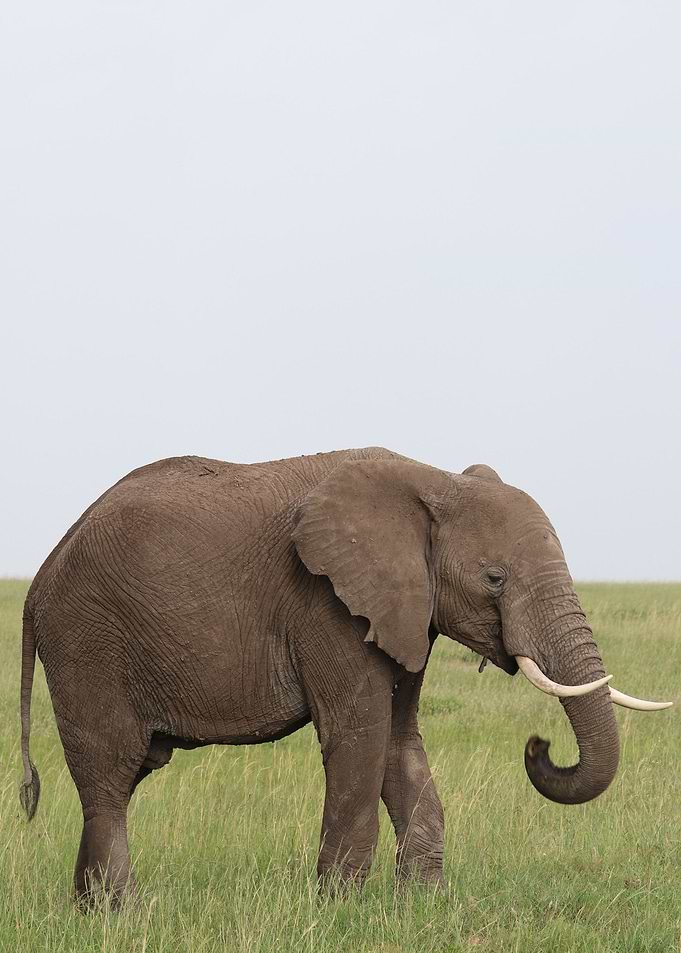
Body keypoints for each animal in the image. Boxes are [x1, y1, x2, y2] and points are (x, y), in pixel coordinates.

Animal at [18, 447, 670, 905]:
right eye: (494, 579)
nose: (539, 745)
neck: (431, 480)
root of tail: (40, 578)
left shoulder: (404, 611)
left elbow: (400, 743)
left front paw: (423, 907)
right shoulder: (326, 605)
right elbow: (359, 737)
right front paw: (341, 911)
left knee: (121, 779)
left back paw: (90, 911)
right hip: (87, 644)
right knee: (110, 773)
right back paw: (121, 914)